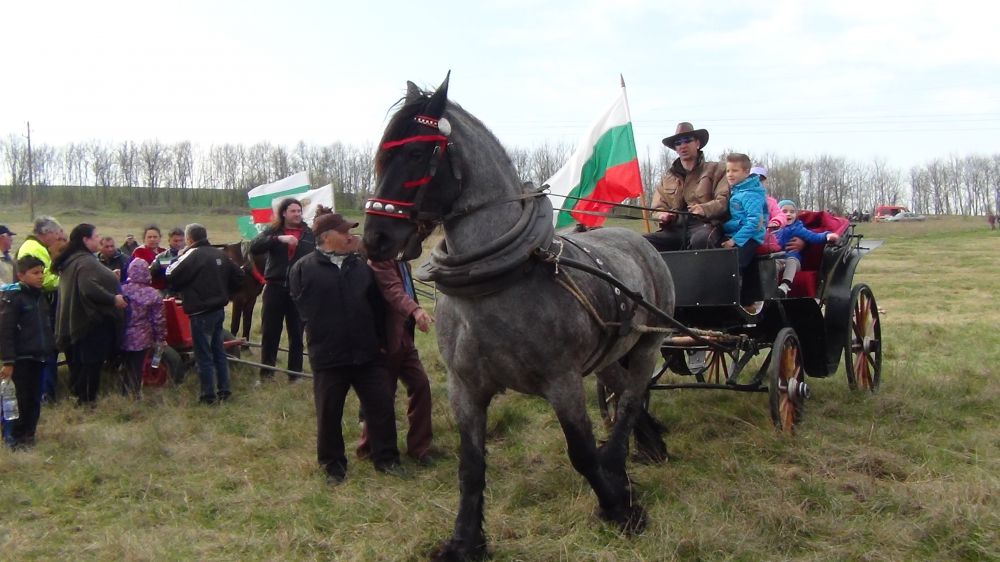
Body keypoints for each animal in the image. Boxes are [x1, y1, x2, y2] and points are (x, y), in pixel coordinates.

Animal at [364, 74, 676, 560]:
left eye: (416, 153)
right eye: (383, 153)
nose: (375, 238)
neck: (495, 284)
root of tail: (640, 241)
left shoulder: (562, 381)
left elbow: (581, 452)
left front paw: (619, 510)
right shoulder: (465, 388)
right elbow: (471, 465)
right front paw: (464, 541)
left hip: (648, 344)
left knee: (629, 399)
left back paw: (617, 464)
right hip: (607, 355)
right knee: (626, 389)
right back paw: (642, 451)